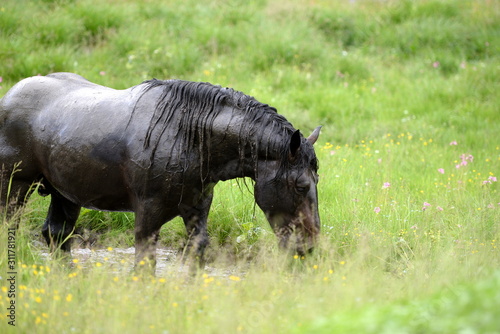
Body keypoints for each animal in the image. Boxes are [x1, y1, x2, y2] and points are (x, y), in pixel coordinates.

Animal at [0, 72, 322, 270]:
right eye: (301, 186)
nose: (308, 248)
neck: (187, 137)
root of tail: (11, 94)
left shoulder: (197, 209)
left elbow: (196, 255)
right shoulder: (148, 214)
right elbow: (144, 264)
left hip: (65, 194)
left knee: (56, 235)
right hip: (16, 186)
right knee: (12, 228)